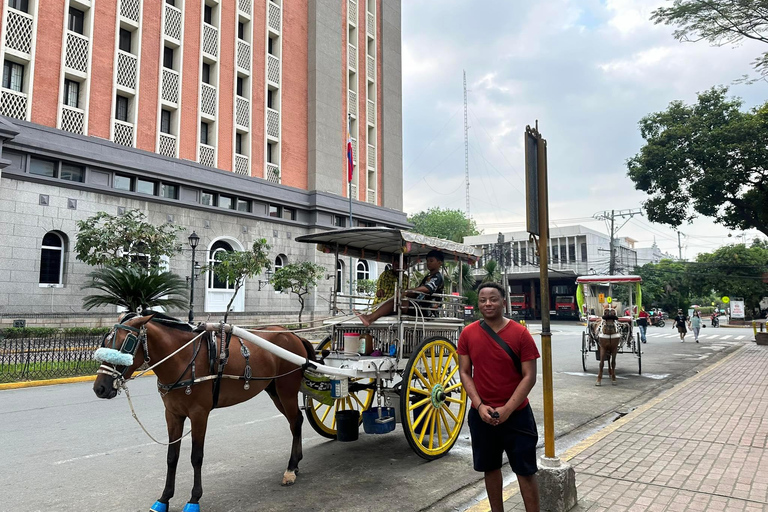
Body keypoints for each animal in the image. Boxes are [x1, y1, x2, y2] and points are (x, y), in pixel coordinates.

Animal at [93, 312, 316, 512]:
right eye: (105, 341)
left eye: (126, 344)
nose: (100, 388)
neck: (183, 359)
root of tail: (294, 335)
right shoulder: (172, 414)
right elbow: (171, 456)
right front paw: (164, 498)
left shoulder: (199, 414)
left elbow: (196, 457)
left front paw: (194, 499)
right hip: (274, 390)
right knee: (296, 421)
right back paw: (295, 463)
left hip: (286, 390)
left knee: (295, 422)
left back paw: (290, 468)